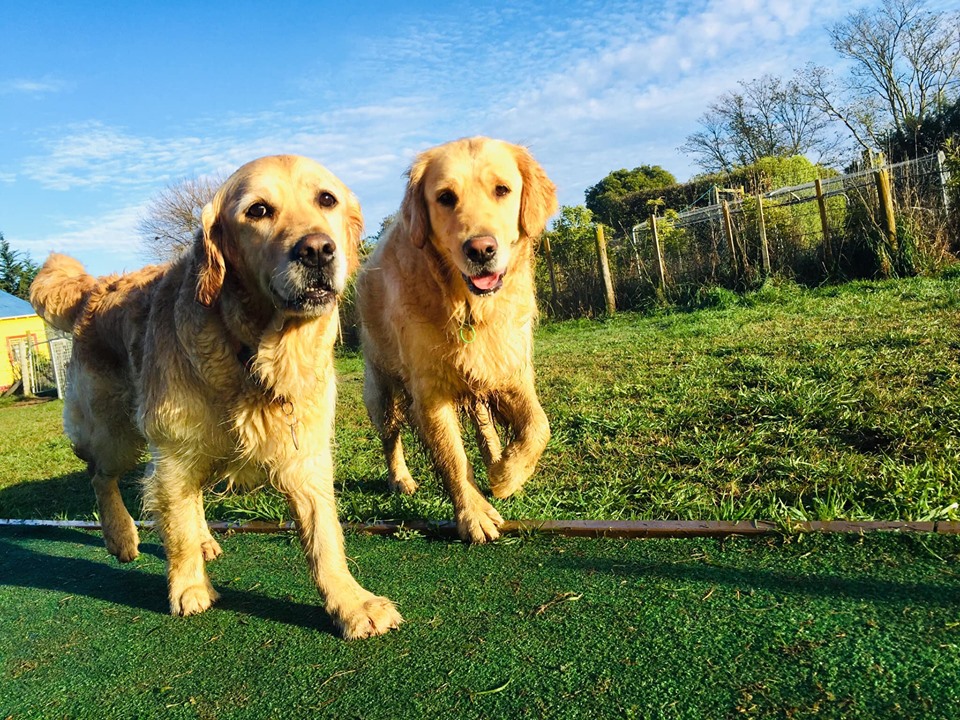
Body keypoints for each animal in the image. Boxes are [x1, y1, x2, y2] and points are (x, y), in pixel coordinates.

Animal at [31, 155, 402, 640]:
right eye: (258, 210)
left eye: (326, 199)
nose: (318, 250)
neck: (256, 351)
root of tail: (99, 285)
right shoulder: (173, 450)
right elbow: (177, 530)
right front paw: (189, 588)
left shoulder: (305, 455)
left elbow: (325, 538)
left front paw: (351, 603)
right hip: (115, 433)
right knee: (101, 475)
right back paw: (121, 537)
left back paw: (203, 539)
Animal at [356, 136, 560, 540]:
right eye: (446, 197)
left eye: (502, 189)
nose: (481, 249)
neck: (468, 306)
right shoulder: (431, 389)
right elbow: (452, 456)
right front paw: (474, 516)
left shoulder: (510, 368)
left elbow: (539, 426)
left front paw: (506, 475)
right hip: (381, 386)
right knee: (390, 436)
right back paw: (401, 479)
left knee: (484, 424)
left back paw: (496, 458)